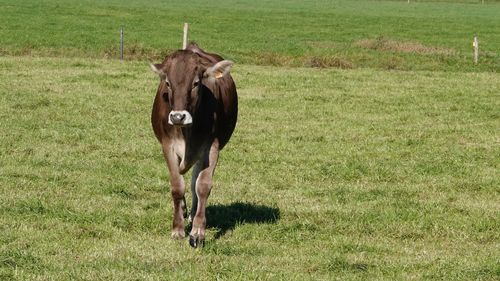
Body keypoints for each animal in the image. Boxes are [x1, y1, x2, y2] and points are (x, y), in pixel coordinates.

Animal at [149, 42, 237, 246]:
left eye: (196, 83)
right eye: (167, 83)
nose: (177, 116)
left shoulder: (211, 146)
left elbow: (202, 186)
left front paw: (197, 232)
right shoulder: (167, 145)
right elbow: (176, 186)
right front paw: (177, 229)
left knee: (194, 181)